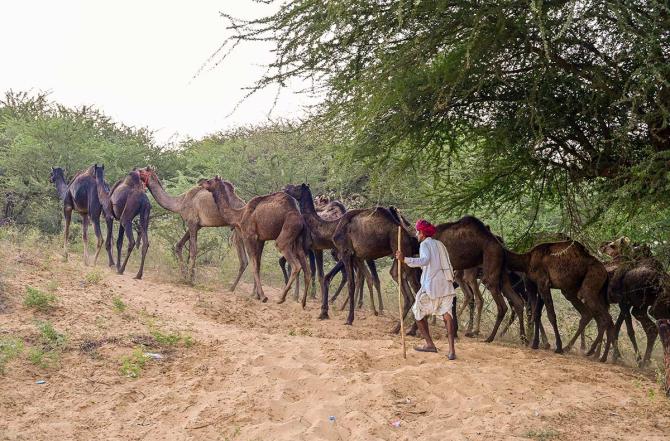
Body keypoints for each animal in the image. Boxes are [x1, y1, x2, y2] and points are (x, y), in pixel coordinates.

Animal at [199, 176, 312, 306]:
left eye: (209, 181)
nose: (200, 182)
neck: (239, 215)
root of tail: (301, 220)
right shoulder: (260, 240)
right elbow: (258, 265)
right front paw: (257, 295)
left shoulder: (249, 236)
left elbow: (253, 266)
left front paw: (262, 296)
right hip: (298, 241)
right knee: (307, 270)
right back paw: (303, 302)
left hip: (287, 232)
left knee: (296, 265)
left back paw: (281, 298)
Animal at [282, 184, 384, 314]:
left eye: (296, 187)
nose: (285, 188)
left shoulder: (319, 249)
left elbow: (320, 274)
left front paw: (315, 299)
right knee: (364, 276)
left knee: (358, 276)